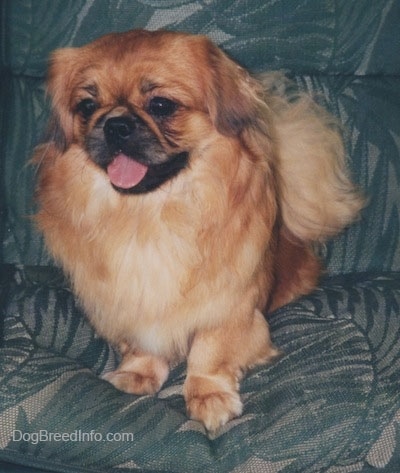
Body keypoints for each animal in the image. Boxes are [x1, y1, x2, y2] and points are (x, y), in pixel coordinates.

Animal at [35, 27, 366, 430]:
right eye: (86, 107)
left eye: (161, 106)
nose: (115, 124)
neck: (149, 216)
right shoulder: (132, 299)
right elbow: (144, 344)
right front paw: (138, 373)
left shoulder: (227, 303)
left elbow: (210, 352)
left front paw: (209, 396)